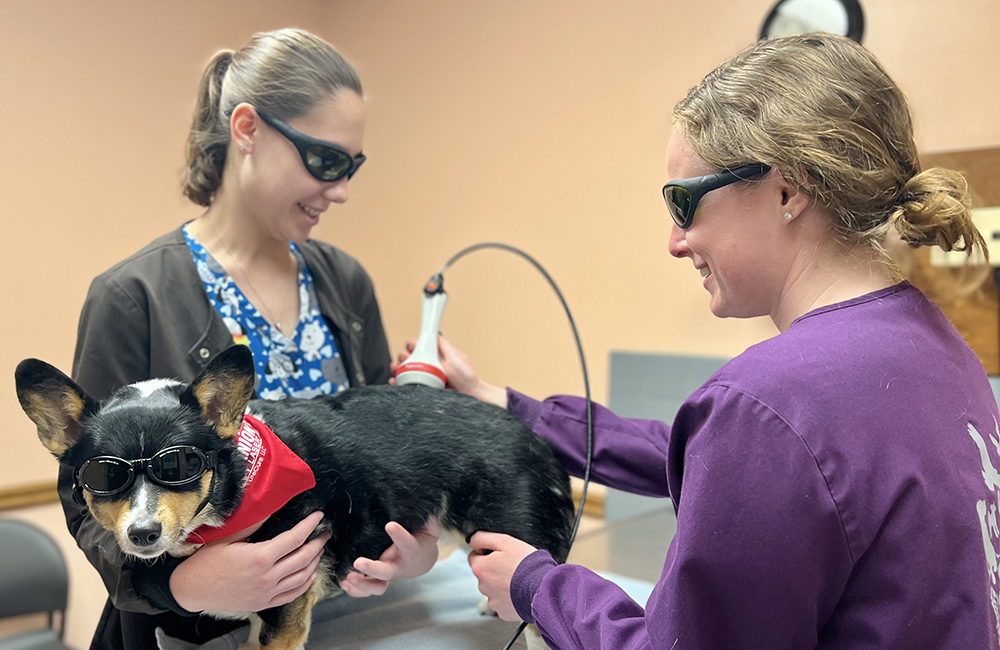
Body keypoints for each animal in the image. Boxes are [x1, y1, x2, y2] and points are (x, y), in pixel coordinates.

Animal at [13, 342, 580, 644]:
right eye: (104, 478)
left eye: (179, 466)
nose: (142, 535)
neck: (238, 484)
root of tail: (537, 439)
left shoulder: (285, 611)